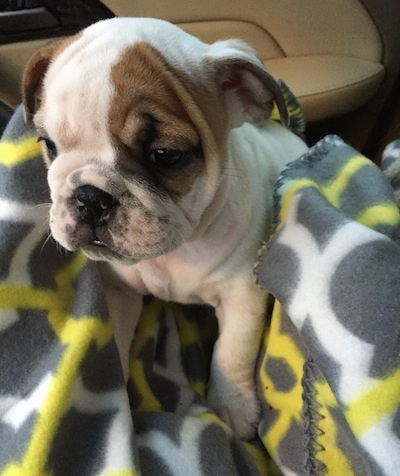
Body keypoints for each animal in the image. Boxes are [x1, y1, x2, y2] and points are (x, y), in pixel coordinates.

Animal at [21, 16, 308, 440]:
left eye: (165, 155)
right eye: (49, 146)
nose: (89, 197)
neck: (177, 249)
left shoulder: (242, 295)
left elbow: (232, 350)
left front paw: (233, 405)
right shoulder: (120, 292)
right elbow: (116, 337)